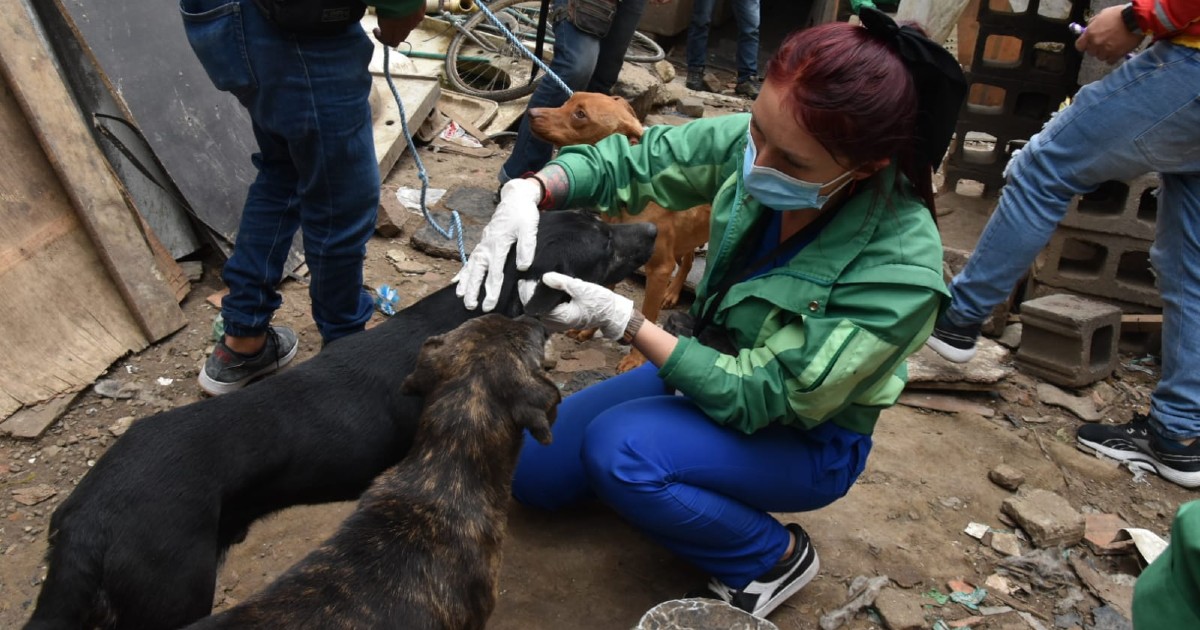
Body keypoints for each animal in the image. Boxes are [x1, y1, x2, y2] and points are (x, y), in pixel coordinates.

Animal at [528, 90, 710, 372]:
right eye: (569, 100)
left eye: (580, 114)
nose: (530, 113)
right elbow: (606, 293)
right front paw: (589, 330)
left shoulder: (660, 269)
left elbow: (648, 314)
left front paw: (635, 359)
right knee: (689, 258)